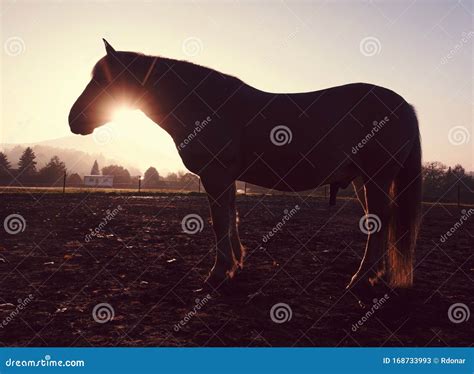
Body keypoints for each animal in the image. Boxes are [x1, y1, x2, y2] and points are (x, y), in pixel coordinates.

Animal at [68, 41, 420, 290]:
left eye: (104, 82)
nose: (73, 120)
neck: (206, 105)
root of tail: (403, 105)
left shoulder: (216, 176)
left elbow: (219, 222)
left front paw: (219, 272)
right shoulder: (227, 179)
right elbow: (231, 218)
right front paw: (235, 265)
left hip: (376, 178)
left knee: (379, 221)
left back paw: (362, 278)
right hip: (365, 181)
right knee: (381, 221)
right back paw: (376, 275)